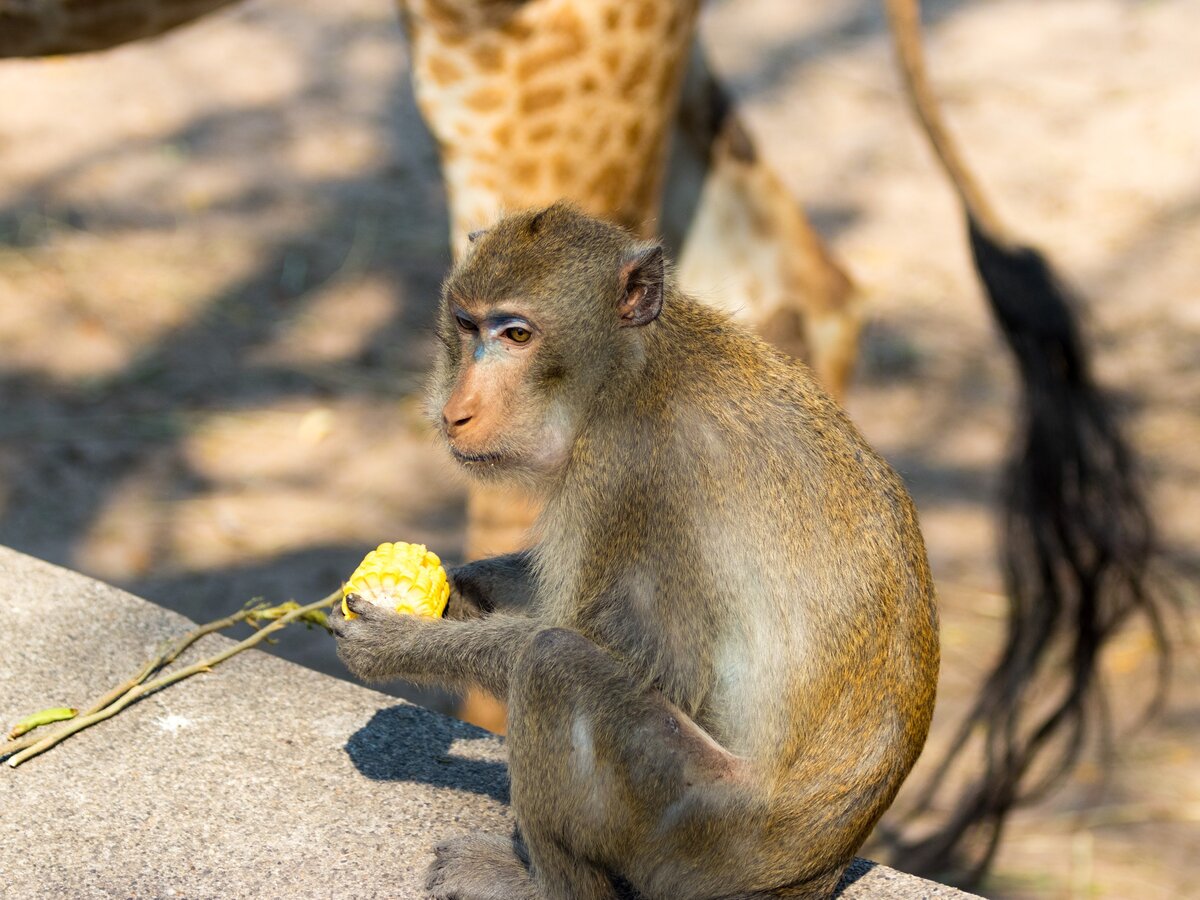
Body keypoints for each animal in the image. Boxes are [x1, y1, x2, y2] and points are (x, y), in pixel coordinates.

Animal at [326, 204, 936, 900]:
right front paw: (462, 591)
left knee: (552, 665)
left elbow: (644, 661)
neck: (630, 367)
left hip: (694, 834)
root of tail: (812, 870)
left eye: (516, 335)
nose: (456, 411)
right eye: (466, 324)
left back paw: (545, 889)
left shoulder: (630, 468)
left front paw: (403, 643)